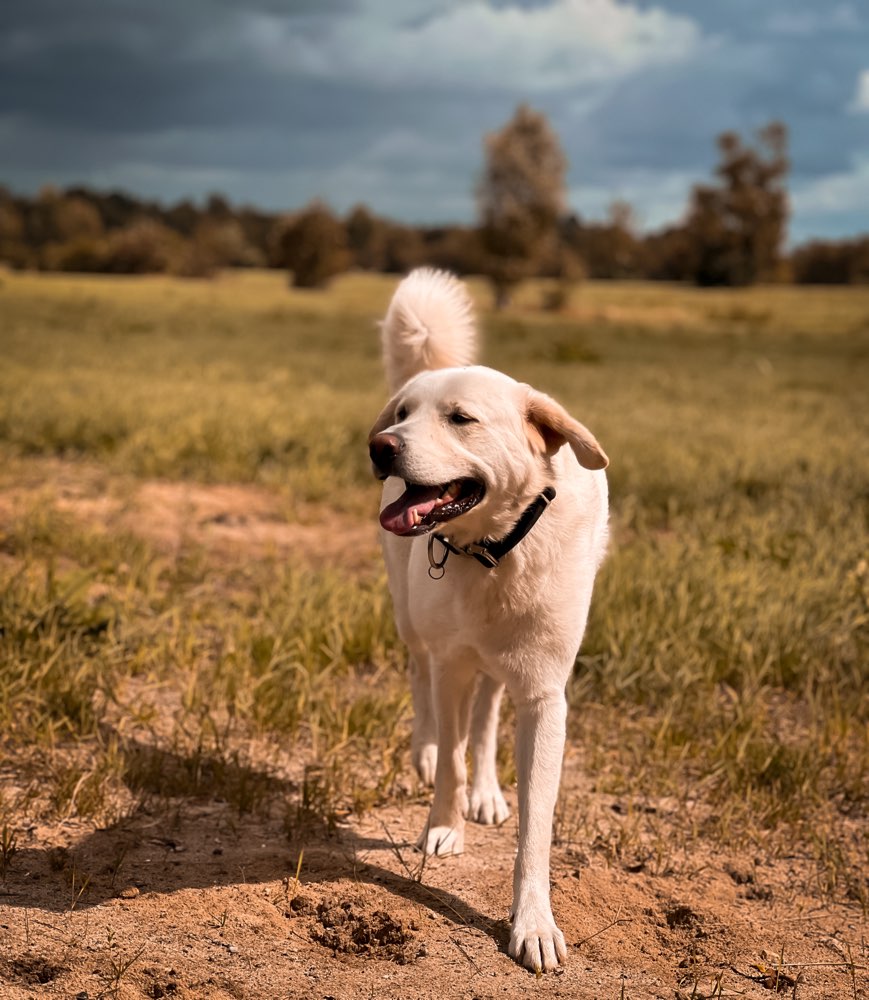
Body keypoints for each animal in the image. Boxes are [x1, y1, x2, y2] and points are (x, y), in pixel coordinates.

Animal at [370, 270, 608, 972]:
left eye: (461, 419)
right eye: (404, 414)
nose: (379, 447)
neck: (496, 550)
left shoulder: (545, 695)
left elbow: (536, 824)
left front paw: (533, 923)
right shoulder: (451, 665)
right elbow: (449, 752)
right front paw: (442, 828)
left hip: (508, 665)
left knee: (487, 713)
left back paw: (486, 791)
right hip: (410, 618)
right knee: (422, 681)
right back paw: (426, 755)